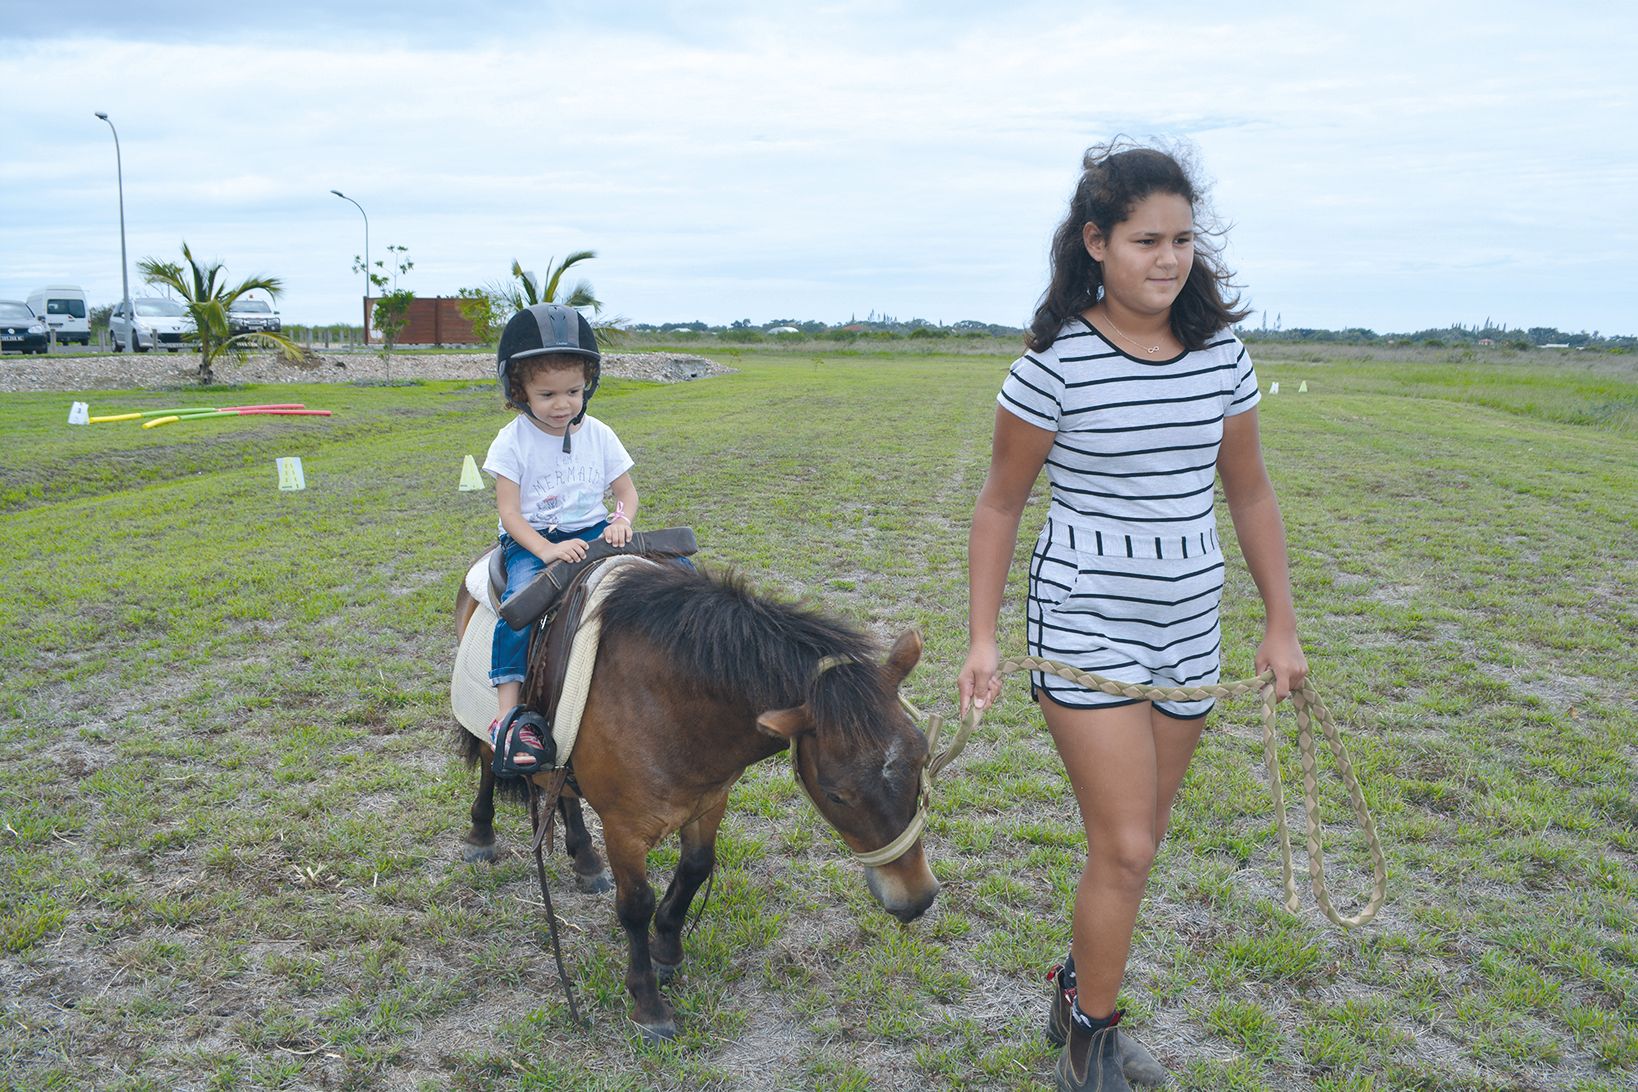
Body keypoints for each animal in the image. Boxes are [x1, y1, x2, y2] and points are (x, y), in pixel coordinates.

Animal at [455, 563, 943, 1041]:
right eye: (837, 793)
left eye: (922, 757)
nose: (917, 896)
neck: (668, 706)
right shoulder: (624, 830)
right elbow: (636, 905)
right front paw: (648, 1004)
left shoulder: (709, 802)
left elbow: (694, 870)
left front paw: (667, 950)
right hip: (494, 729)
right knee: (489, 764)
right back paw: (481, 834)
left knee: (564, 792)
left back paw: (586, 860)